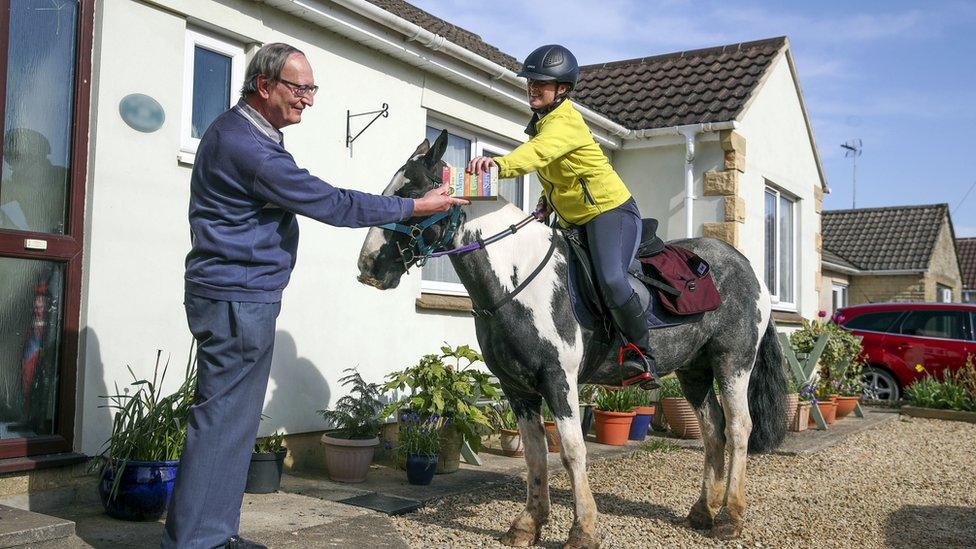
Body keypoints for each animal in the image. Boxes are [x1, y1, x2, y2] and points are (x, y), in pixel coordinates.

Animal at [354, 132, 788, 544]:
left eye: (412, 191)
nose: (368, 265)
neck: (519, 280)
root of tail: (746, 267)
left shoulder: (558, 380)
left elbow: (572, 451)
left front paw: (583, 528)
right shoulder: (517, 388)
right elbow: (534, 455)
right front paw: (528, 524)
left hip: (733, 363)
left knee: (739, 428)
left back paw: (730, 518)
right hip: (694, 371)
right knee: (714, 431)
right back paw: (702, 512)